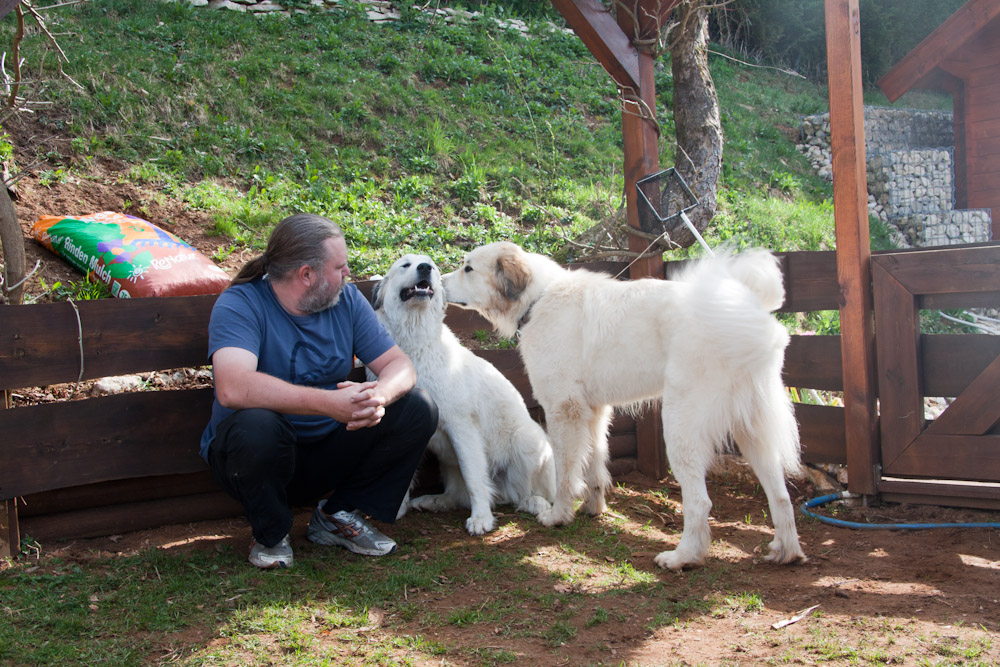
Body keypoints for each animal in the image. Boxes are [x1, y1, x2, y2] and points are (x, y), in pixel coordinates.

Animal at [372, 253, 556, 536]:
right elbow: (403, 471)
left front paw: (481, 519)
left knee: (521, 494)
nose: (424, 268)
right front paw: (398, 507)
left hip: (527, 442)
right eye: (405, 265)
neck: (415, 342)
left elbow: (474, 477)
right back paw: (434, 501)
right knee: (459, 495)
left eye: (431, 266)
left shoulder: (462, 427)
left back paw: (535, 503)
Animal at [442, 243, 808, 572]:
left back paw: (683, 558)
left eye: (468, 268)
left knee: (700, 502)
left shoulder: (564, 409)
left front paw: (559, 515)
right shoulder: (593, 412)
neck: (538, 298)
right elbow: (594, 464)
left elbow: (564, 473)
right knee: (780, 495)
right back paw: (785, 551)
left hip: (680, 425)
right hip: (752, 430)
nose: (438, 282)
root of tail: (743, 307)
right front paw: (593, 507)